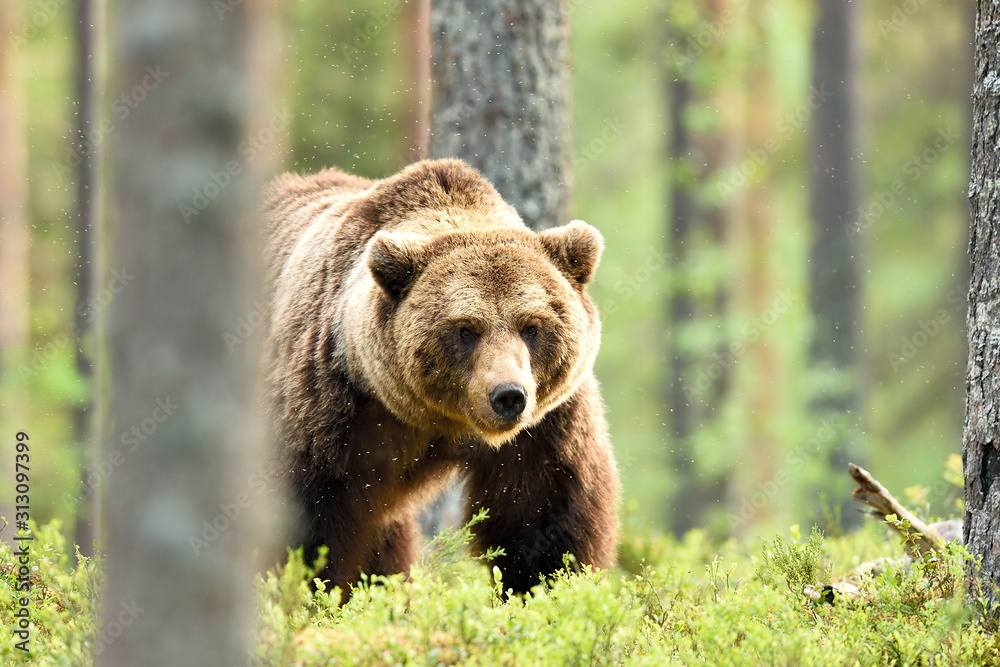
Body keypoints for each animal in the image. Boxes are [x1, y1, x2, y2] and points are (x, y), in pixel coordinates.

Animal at [262, 158, 620, 598]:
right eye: (466, 329)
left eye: (531, 326)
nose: (508, 396)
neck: (439, 420)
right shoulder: (329, 406)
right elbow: (309, 529)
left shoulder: (546, 425)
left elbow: (544, 518)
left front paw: (548, 590)